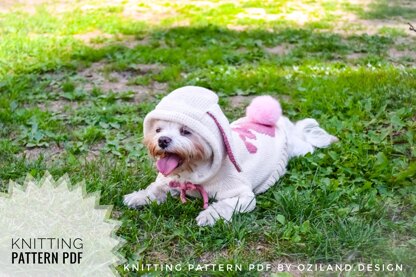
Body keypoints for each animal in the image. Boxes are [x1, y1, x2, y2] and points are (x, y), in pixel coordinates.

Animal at [123, 85, 338, 224]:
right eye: (158, 130)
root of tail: (277, 124)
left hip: (299, 149)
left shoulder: (243, 196)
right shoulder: (169, 180)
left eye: (185, 131)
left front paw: (209, 215)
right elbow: (155, 189)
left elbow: (225, 205)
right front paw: (139, 197)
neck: (193, 171)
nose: (162, 140)